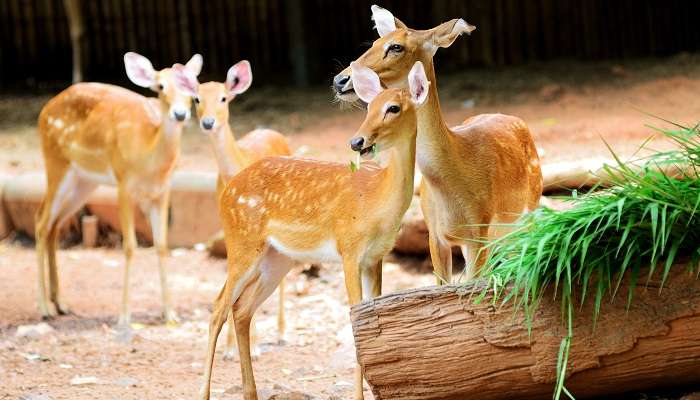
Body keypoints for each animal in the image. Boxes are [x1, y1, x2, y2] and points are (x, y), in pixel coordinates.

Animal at [34, 51, 202, 326]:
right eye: (160, 86)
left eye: (193, 87)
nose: (179, 114)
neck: (148, 158)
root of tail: (44, 111)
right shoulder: (124, 183)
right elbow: (130, 246)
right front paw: (124, 316)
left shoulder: (162, 191)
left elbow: (162, 245)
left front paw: (170, 313)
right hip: (56, 163)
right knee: (40, 221)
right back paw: (44, 308)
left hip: (84, 182)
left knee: (53, 225)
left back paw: (61, 304)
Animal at [173, 61, 292, 356]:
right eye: (197, 99)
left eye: (224, 98)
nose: (208, 122)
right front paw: (228, 349)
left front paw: (256, 345)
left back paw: (283, 333)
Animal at [194, 60, 430, 400]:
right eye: (368, 107)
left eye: (393, 108)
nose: (357, 142)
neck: (375, 200)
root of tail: (227, 192)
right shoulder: (349, 248)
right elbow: (354, 321)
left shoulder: (376, 257)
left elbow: (370, 322)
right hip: (242, 242)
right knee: (217, 308)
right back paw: (205, 392)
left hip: (277, 258)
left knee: (241, 309)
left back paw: (251, 391)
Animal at [330, 4, 544, 282]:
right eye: (374, 41)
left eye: (396, 47)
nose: (340, 80)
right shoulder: (436, 234)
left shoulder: (479, 228)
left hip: (528, 211)